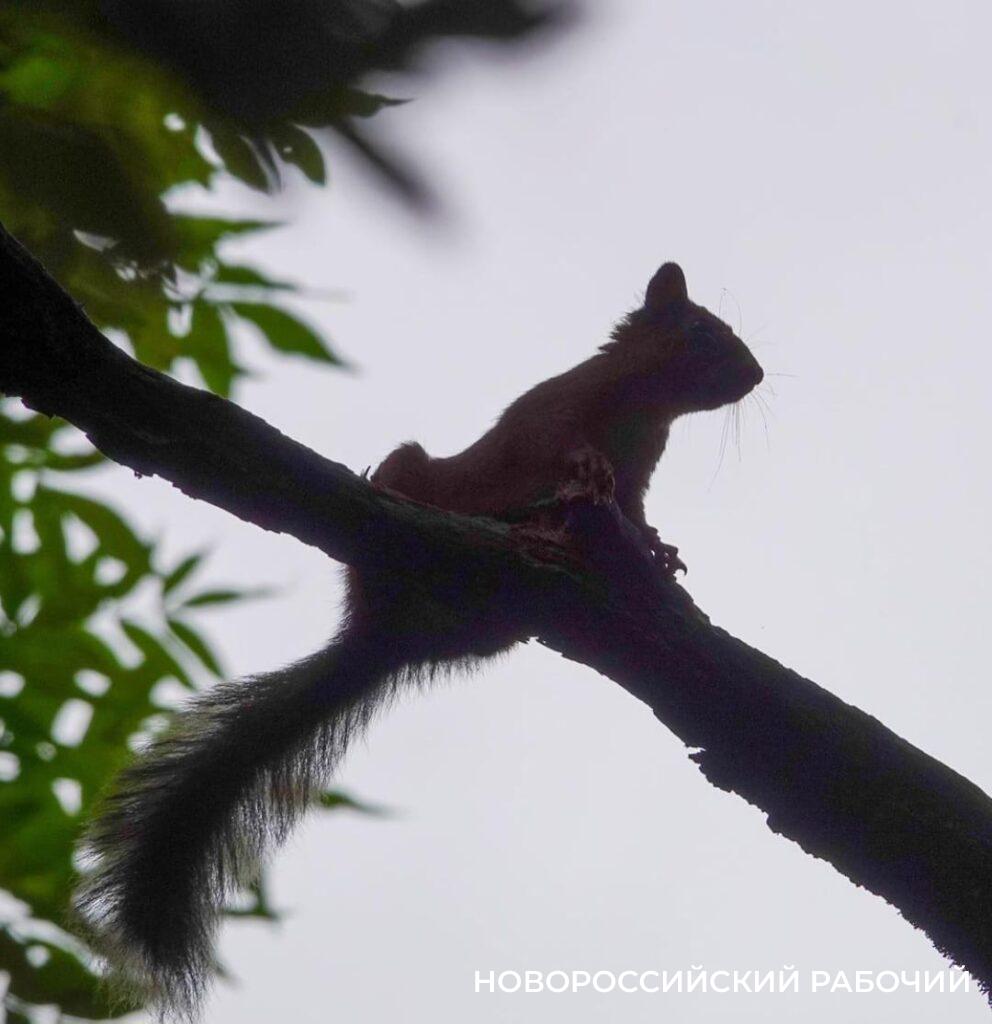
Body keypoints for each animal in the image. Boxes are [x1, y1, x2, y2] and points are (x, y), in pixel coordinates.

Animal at [71, 262, 765, 1015]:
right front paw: (588, 480)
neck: (642, 409)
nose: (756, 375)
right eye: (701, 330)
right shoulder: (551, 416)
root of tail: (383, 638)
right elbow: (557, 449)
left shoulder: (637, 482)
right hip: (404, 482)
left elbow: (635, 520)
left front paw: (662, 556)